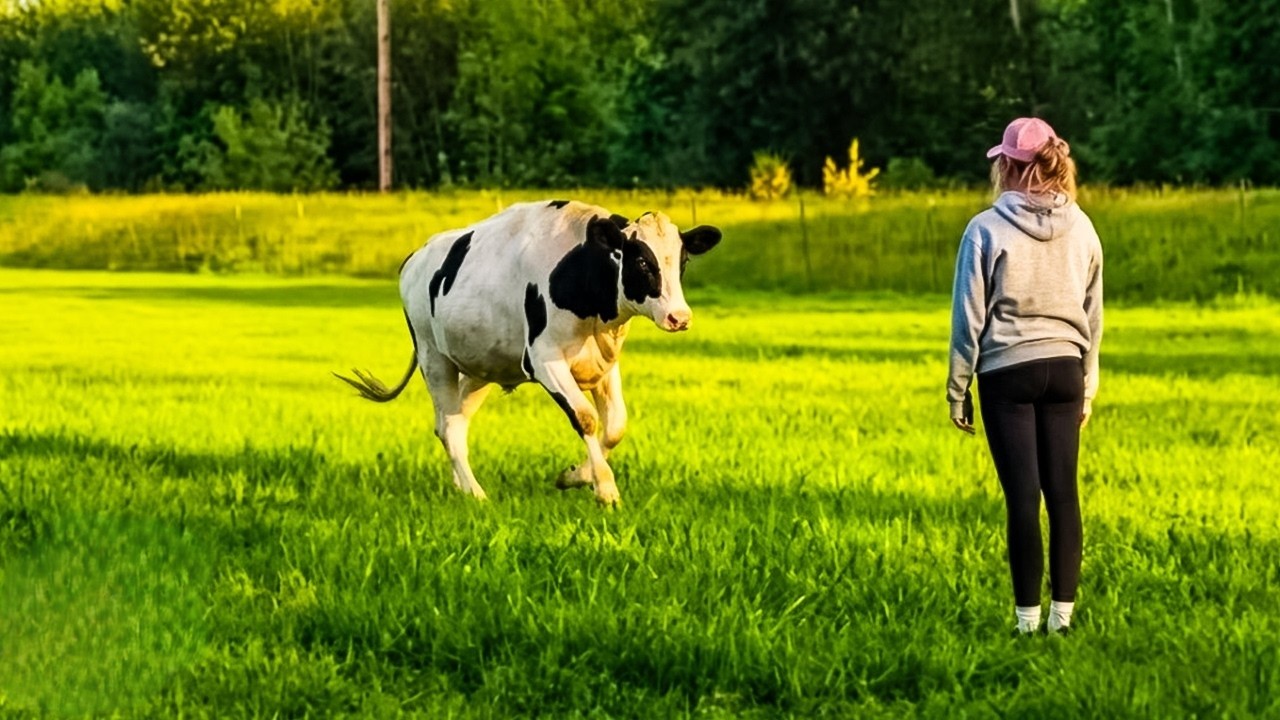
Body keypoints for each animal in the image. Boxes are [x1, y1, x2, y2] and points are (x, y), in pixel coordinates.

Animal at [335, 200, 722, 507]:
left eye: (682, 262)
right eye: (641, 262)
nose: (679, 317)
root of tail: (415, 257)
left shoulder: (605, 363)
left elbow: (615, 426)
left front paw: (574, 476)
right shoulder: (544, 359)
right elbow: (585, 418)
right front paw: (606, 490)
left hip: (478, 369)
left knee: (450, 422)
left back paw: (462, 487)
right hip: (434, 358)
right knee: (449, 427)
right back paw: (476, 494)